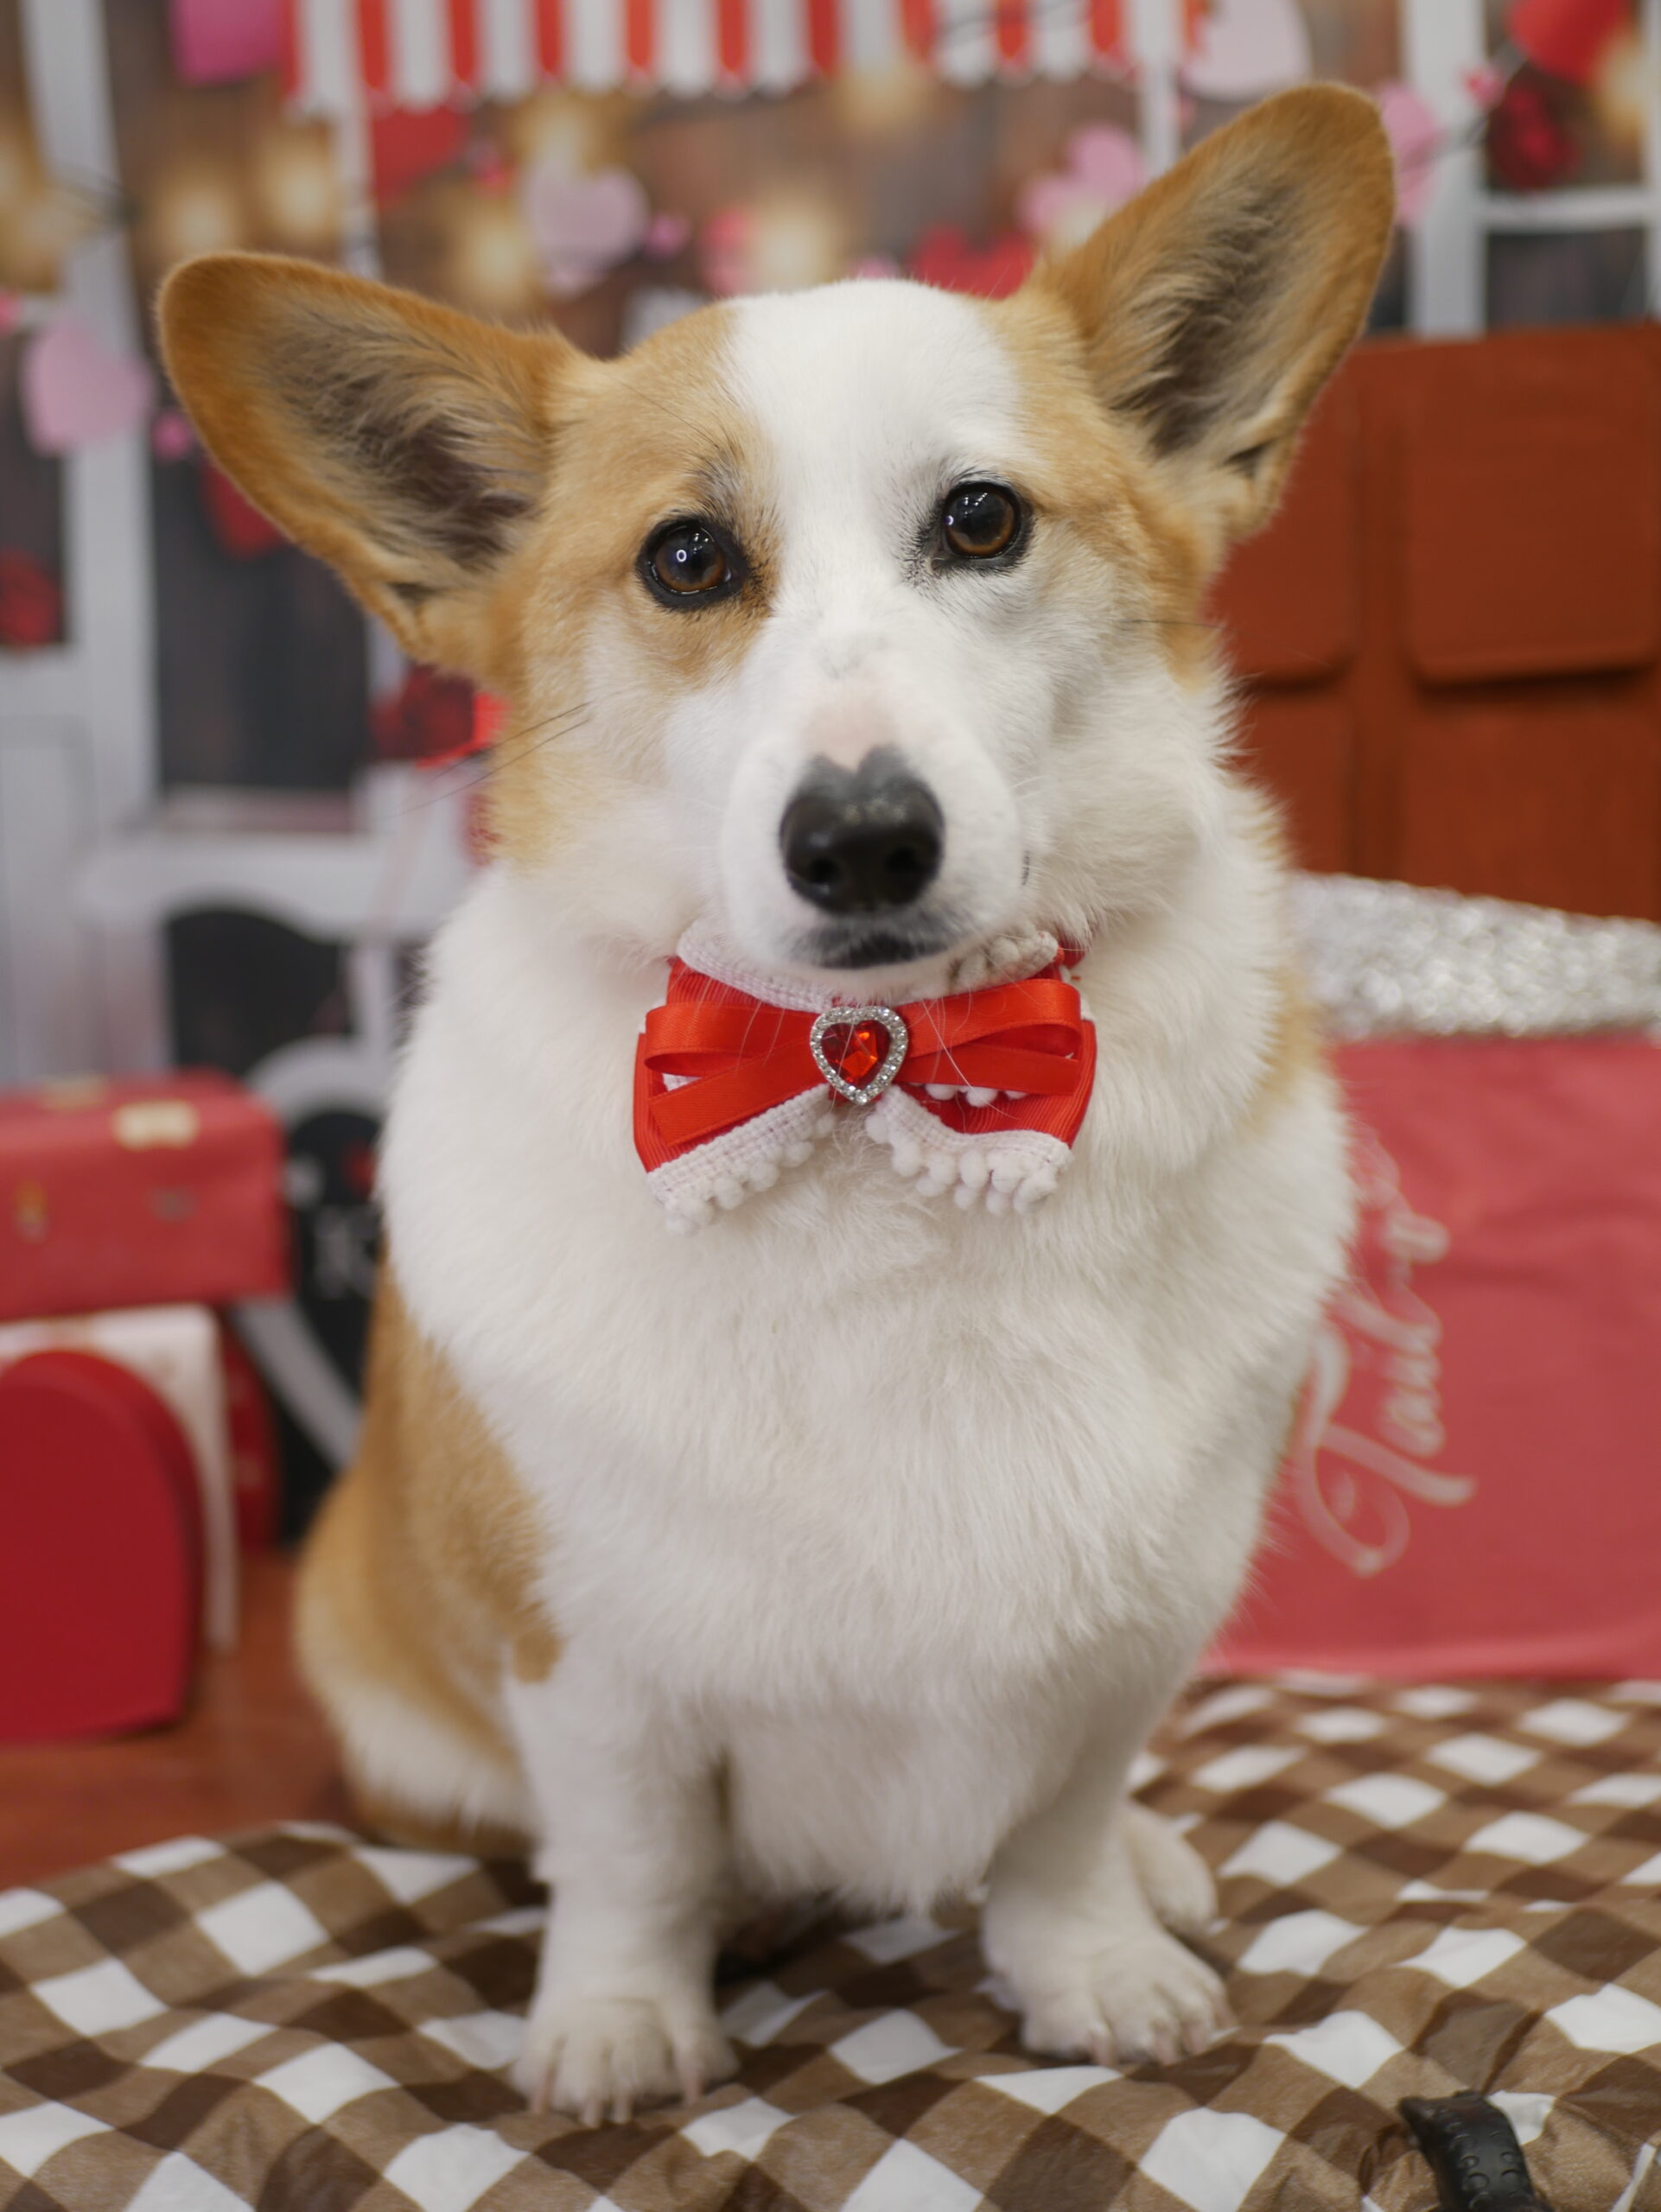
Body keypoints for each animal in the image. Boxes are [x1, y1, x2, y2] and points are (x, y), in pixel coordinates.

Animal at [160, 84, 1392, 2122]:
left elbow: (1059, 1821)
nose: (864, 837)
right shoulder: (591, 1665)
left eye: (980, 520)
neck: (865, 1080)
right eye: (683, 561)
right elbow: (634, 1856)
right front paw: (620, 2024)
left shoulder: (1135, 1627)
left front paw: (1092, 1966)